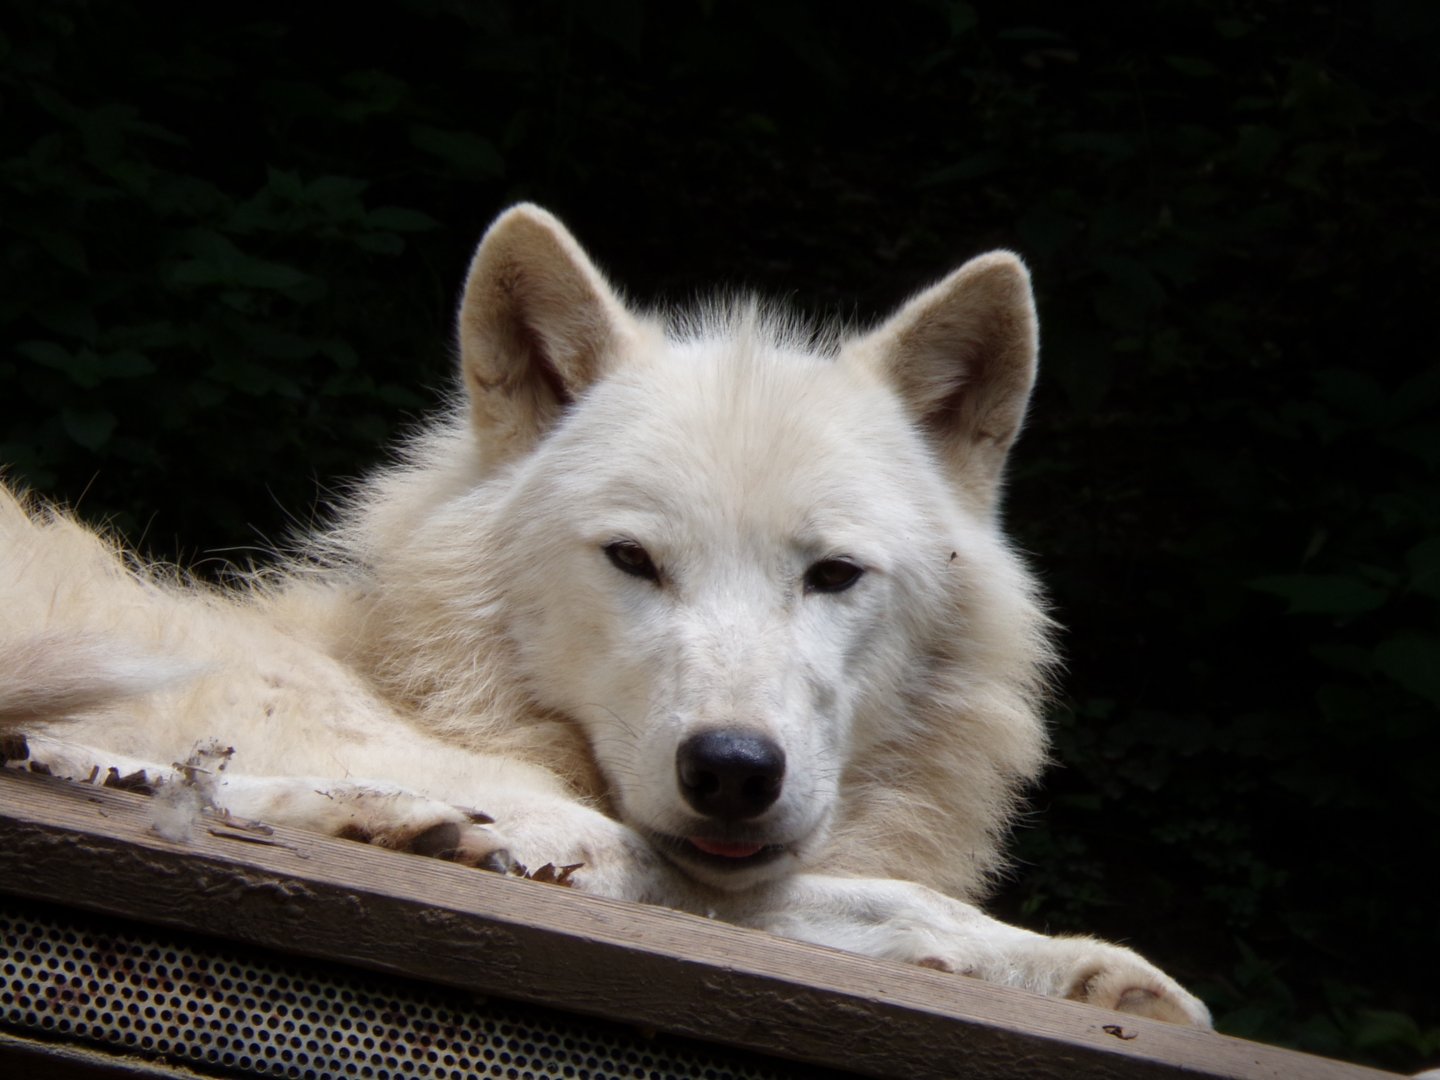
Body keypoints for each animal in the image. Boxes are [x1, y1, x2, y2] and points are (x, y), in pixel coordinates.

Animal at [1, 204, 1209, 1026]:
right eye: (634, 560)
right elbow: (804, 893)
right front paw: (1097, 969)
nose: (732, 769)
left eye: (832, 575)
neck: (416, 675)